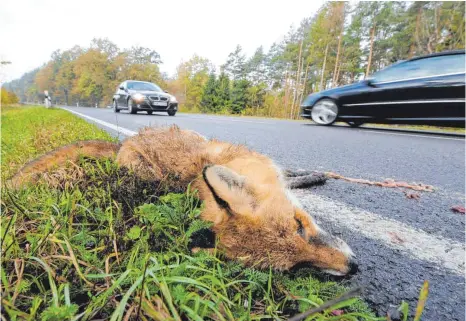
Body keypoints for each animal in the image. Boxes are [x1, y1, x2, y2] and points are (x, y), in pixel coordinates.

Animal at [9, 125, 356, 276]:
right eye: (298, 267)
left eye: (299, 225)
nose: (353, 268)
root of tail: (123, 144)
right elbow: (291, 176)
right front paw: (311, 177)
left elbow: (290, 175)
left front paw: (311, 176)